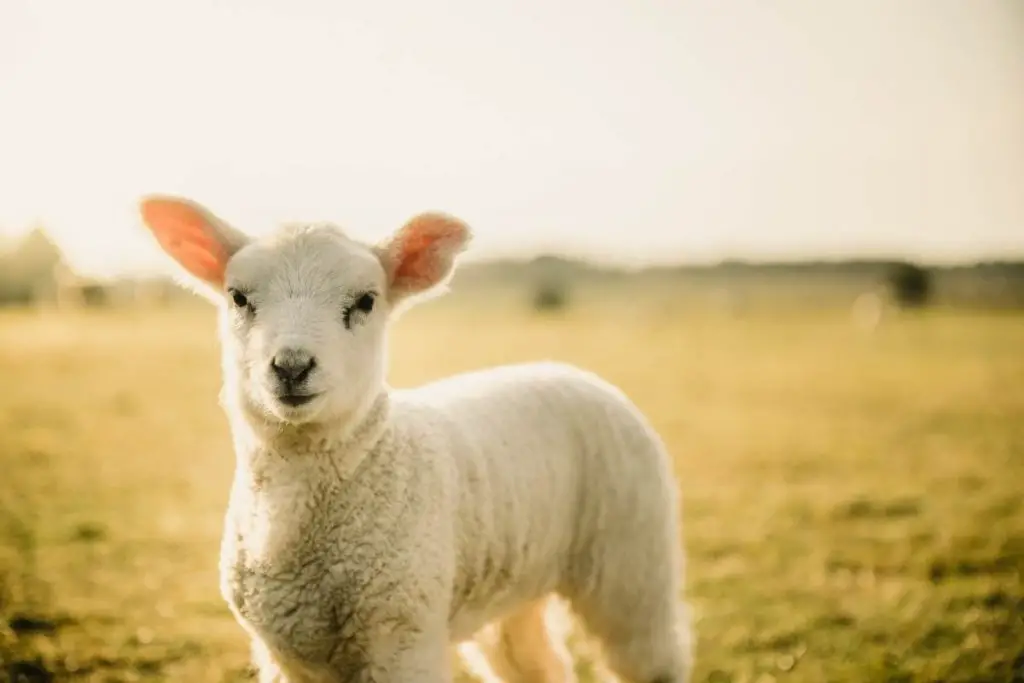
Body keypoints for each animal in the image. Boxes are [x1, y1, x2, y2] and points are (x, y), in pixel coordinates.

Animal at [138, 193, 696, 683]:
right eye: (238, 297)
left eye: (366, 301)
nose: (292, 367)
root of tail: (572, 371)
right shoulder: (284, 652)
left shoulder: (402, 637)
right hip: (516, 591)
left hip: (633, 563)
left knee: (653, 656)